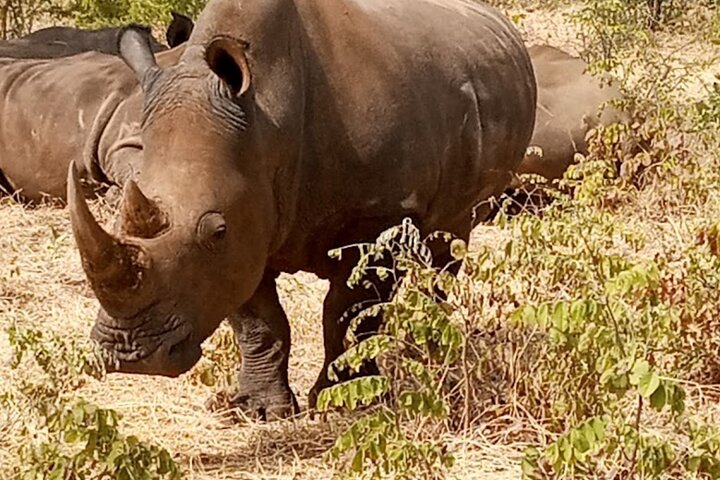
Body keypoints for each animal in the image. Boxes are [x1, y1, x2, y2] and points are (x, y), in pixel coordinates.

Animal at [68, 0, 537, 419]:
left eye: (215, 231)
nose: (131, 355)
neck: (268, 121)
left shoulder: (375, 217)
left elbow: (347, 314)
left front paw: (347, 403)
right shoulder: (246, 226)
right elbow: (258, 322)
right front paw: (258, 410)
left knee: (451, 237)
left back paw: (425, 348)